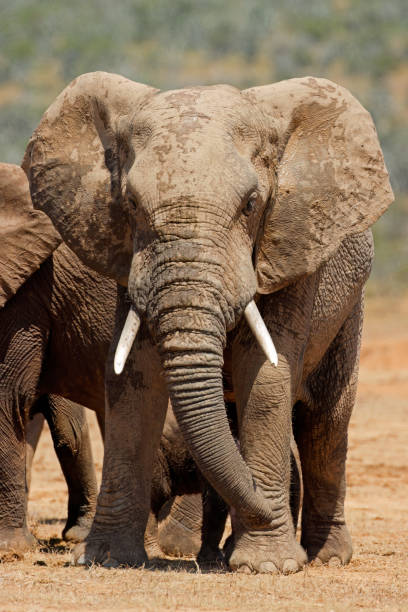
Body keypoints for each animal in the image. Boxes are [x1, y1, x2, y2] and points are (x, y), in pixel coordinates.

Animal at [24, 73, 392, 572]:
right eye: (131, 204)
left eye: (252, 204)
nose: (270, 508)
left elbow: (266, 372)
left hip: (350, 306)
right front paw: (105, 559)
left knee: (326, 424)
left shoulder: (288, 250)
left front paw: (268, 566)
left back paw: (326, 556)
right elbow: (133, 380)